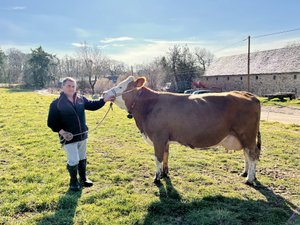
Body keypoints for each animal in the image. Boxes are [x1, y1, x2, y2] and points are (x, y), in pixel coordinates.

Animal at [103, 76, 260, 185]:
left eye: (121, 86)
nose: (104, 93)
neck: (148, 107)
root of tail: (248, 95)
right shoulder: (165, 139)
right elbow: (165, 156)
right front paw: (165, 174)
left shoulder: (158, 138)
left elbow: (158, 158)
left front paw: (156, 178)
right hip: (244, 137)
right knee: (247, 154)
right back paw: (245, 173)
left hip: (247, 135)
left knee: (252, 155)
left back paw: (249, 179)